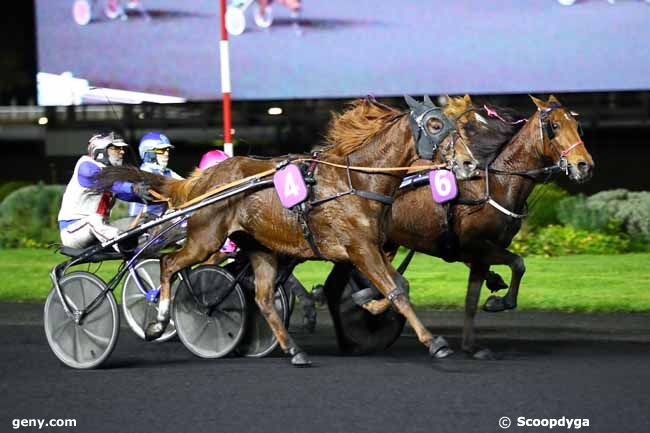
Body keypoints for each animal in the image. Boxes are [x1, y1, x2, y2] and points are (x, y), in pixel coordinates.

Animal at [96, 98, 478, 364]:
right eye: (434, 124)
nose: (469, 163)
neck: (358, 181)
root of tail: (204, 179)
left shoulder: (376, 247)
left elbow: (398, 286)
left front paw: (368, 305)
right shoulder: (360, 248)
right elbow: (397, 291)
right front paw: (435, 343)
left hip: (260, 246)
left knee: (263, 298)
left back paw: (293, 350)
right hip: (206, 238)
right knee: (168, 264)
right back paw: (160, 321)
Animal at [324, 96, 592, 360]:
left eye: (577, 126)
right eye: (555, 126)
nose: (584, 165)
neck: (494, 184)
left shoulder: (482, 253)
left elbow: (472, 299)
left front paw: (472, 344)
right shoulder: (478, 244)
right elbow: (518, 263)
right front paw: (499, 303)